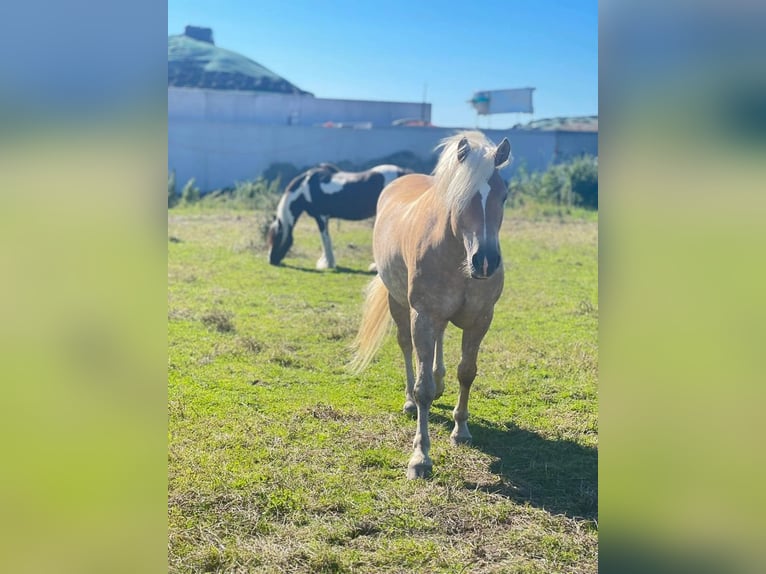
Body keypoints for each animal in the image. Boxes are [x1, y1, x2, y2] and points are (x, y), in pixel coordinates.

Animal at [268, 162, 412, 270]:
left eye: (276, 237)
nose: (271, 260)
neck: (305, 188)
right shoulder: (324, 218)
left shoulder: (321, 217)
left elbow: (325, 239)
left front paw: (328, 264)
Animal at [352, 132, 512, 482]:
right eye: (459, 196)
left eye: (504, 195)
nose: (486, 261)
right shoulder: (423, 316)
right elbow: (423, 386)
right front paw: (420, 457)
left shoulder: (481, 319)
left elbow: (467, 372)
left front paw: (461, 429)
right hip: (399, 304)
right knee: (406, 348)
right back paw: (410, 401)